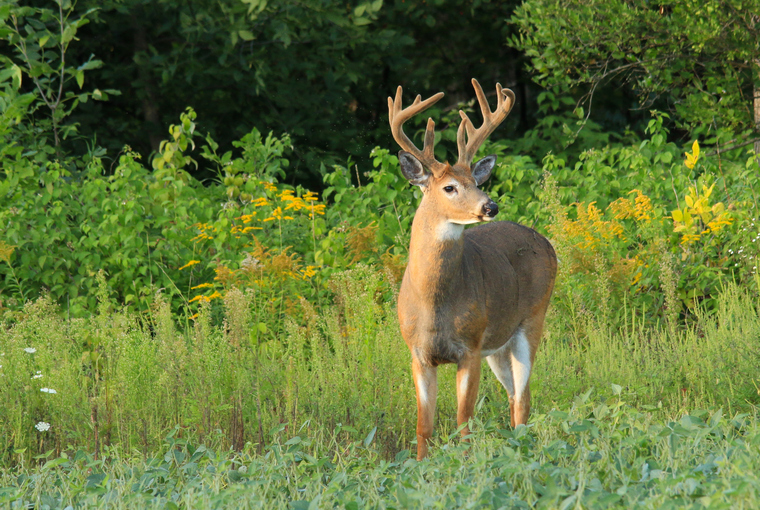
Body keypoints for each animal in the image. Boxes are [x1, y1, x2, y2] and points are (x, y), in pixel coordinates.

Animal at [386, 77, 560, 460]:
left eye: (478, 183)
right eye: (450, 187)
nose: (490, 206)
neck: (434, 304)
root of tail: (546, 242)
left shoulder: (470, 346)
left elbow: (464, 420)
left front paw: (466, 465)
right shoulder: (418, 353)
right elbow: (424, 426)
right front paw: (420, 466)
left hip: (531, 320)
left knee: (522, 399)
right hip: (499, 343)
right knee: (514, 396)